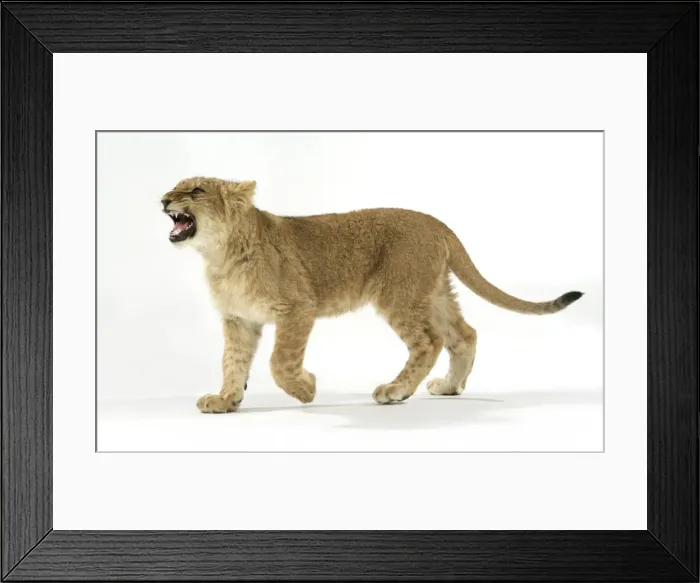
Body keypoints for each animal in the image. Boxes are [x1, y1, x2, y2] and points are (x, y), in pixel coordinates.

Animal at [161, 176, 583, 413]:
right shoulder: (239, 320)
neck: (219, 256)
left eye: (195, 190)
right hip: (432, 291)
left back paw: (395, 391)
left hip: (399, 294)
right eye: (176, 186)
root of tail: (435, 222)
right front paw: (226, 399)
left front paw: (306, 389)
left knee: (429, 341)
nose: (163, 199)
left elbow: (280, 361)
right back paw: (449, 387)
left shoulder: (298, 307)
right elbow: (232, 362)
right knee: (464, 335)